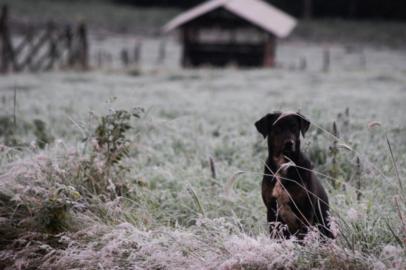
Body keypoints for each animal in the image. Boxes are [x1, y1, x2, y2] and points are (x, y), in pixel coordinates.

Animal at [256, 110, 334, 239]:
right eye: (277, 128)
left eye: (294, 127)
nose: (289, 143)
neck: (284, 164)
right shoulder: (272, 211)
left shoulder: (305, 211)